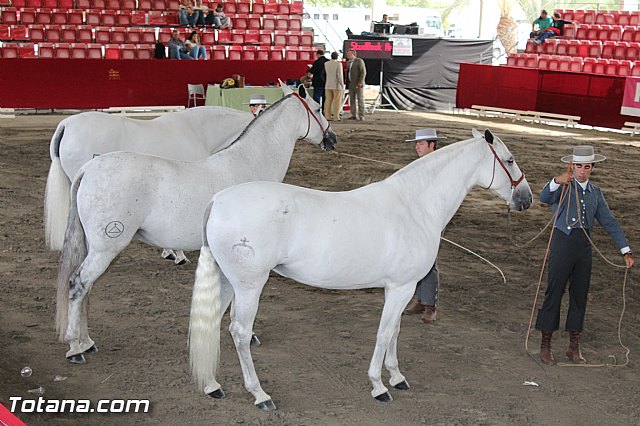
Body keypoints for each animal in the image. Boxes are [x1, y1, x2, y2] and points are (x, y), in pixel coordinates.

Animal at [189, 129, 532, 410]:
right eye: (510, 160)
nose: (526, 199)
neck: (414, 206)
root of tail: (218, 200)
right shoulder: (401, 287)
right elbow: (384, 333)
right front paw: (379, 386)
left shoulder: (402, 288)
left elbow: (394, 331)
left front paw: (396, 377)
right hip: (249, 286)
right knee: (240, 332)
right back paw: (260, 395)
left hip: (228, 282)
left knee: (212, 323)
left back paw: (212, 386)